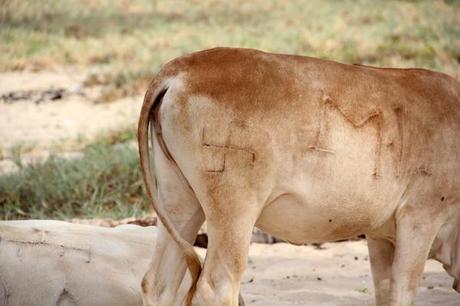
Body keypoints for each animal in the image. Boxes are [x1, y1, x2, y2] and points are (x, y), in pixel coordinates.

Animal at [137, 46, 460, 304]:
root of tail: (180, 68)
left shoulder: (381, 234)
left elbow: (384, 290)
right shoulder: (420, 216)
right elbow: (403, 290)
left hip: (179, 202)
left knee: (159, 283)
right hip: (233, 211)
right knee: (217, 285)